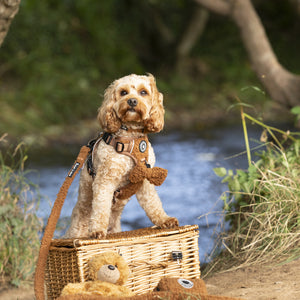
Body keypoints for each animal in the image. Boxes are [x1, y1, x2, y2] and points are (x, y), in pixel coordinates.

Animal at [65, 74, 178, 238]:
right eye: (123, 92)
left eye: (143, 92)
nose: (132, 101)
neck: (131, 138)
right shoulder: (105, 181)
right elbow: (101, 207)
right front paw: (97, 230)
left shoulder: (145, 179)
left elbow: (153, 203)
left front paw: (164, 219)